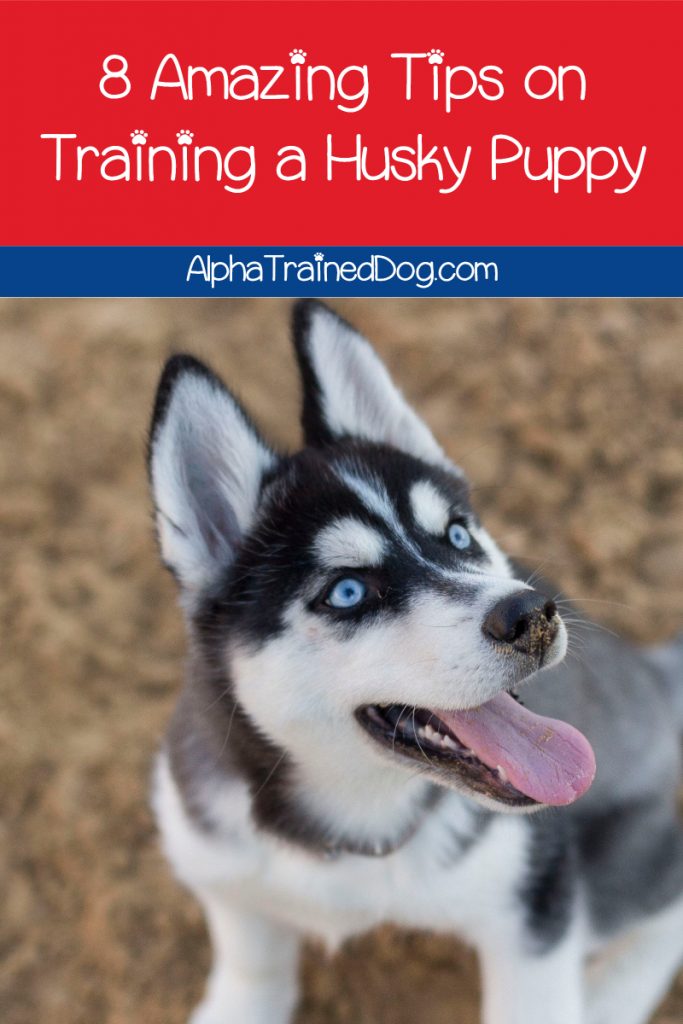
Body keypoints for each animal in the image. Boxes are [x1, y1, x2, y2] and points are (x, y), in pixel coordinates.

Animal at [147, 301, 683, 1024]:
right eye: (347, 591)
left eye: (457, 534)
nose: (532, 613)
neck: (354, 828)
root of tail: (650, 675)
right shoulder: (215, 859)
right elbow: (250, 961)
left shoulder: (533, 896)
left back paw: (603, 997)